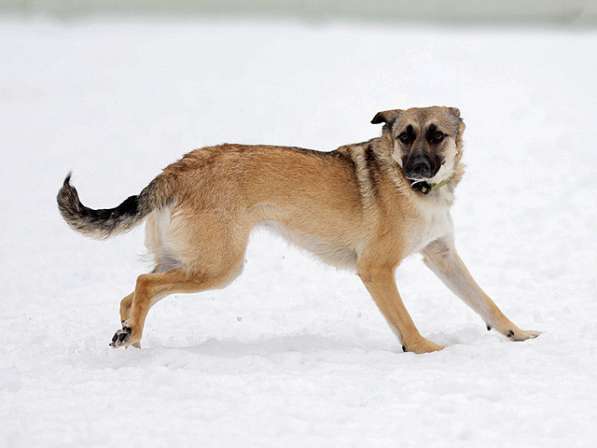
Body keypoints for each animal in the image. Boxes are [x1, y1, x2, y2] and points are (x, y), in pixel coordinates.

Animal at [57, 106, 540, 354]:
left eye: (437, 135)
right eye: (405, 135)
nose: (418, 168)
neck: (419, 191)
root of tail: (173, 171)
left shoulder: (442, 256)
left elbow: (486, 302)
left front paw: (517, 335)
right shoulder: (377, 270)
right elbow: (405, 321)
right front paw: (425, 350)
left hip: (189, 260)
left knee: (132, 294)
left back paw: (126, 335)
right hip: (218, 267)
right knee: (143, 285)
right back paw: (132, 339)